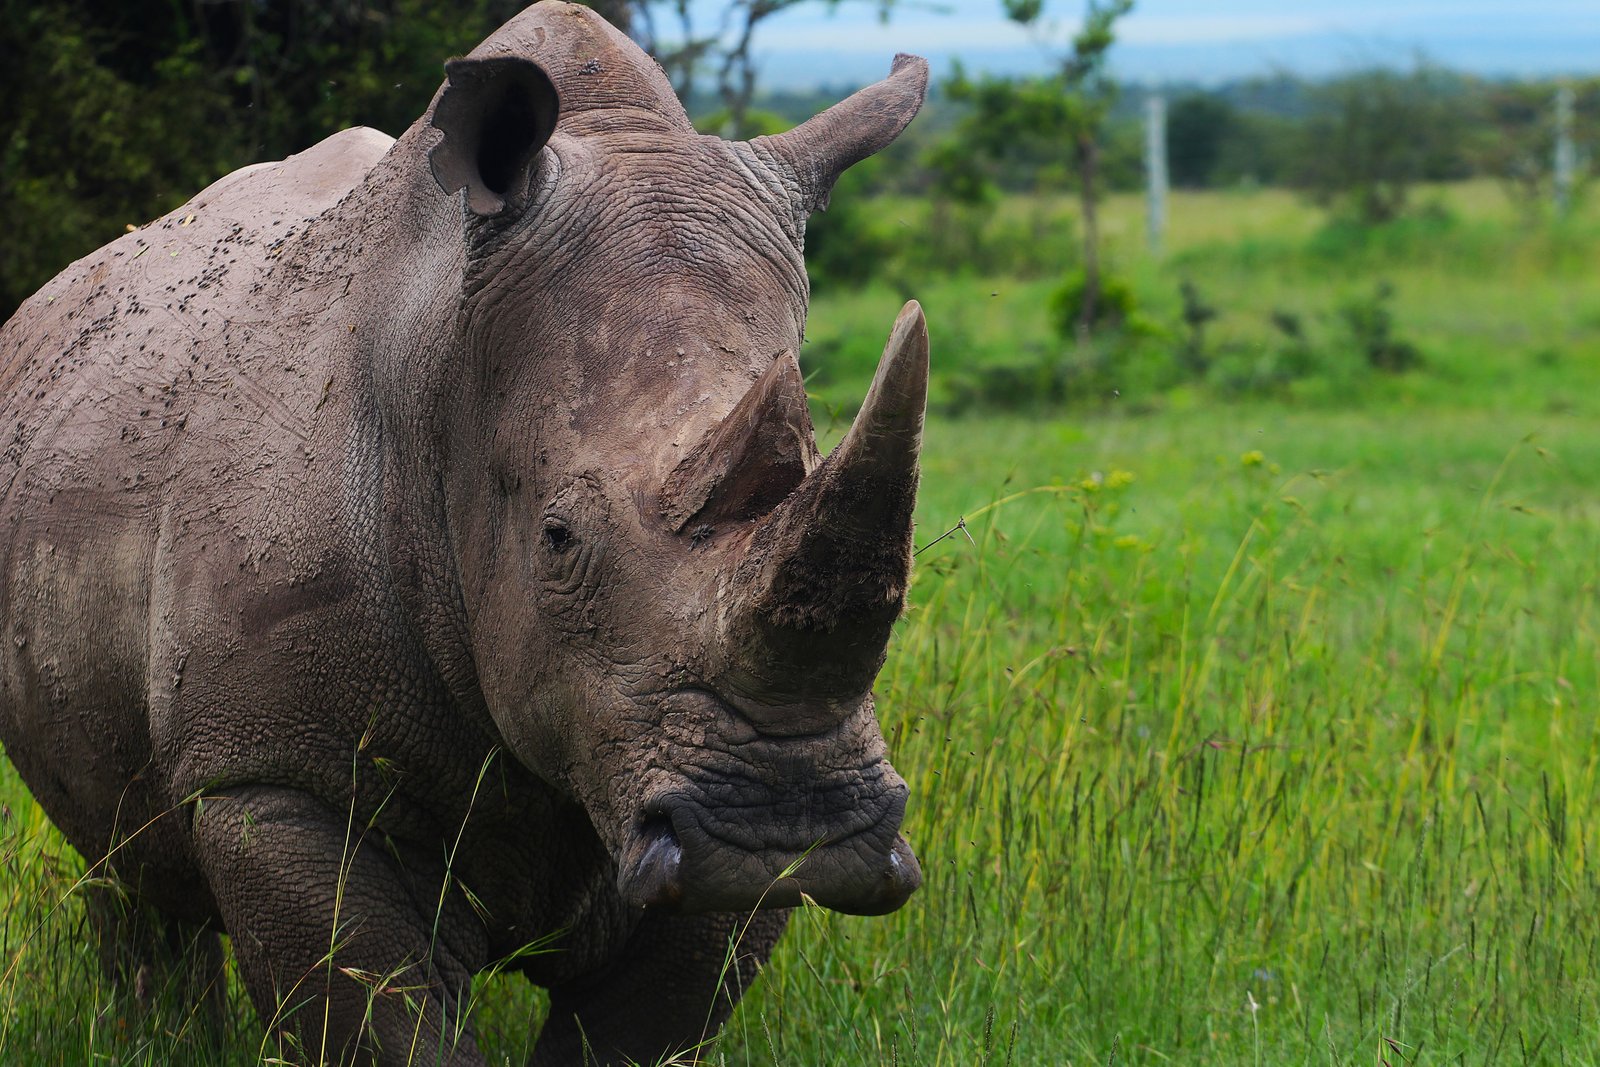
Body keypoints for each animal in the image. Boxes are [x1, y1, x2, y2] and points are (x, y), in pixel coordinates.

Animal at [0, 3, 930, 1063]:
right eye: (558, 537)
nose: (788, 831)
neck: (443, 369)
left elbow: (638, 1025)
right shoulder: (272, 772)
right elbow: (378, 1021)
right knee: (126, 862)